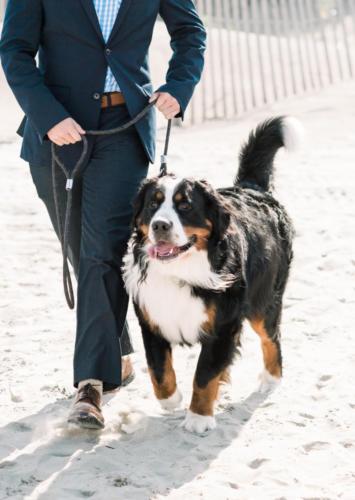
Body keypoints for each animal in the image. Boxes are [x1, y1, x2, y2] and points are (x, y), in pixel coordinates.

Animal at [122, 117, 300, 434]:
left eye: (185, 205)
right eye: (153, 203)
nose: (160, 225)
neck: (179, 268)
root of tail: (252, 189)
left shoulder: (223, 324)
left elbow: (204, 375)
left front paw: (199, 417)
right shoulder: (151, 318)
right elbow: (158, 368)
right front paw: (171, 399)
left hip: (263, 301)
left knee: (271, 338)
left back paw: (271, 378)